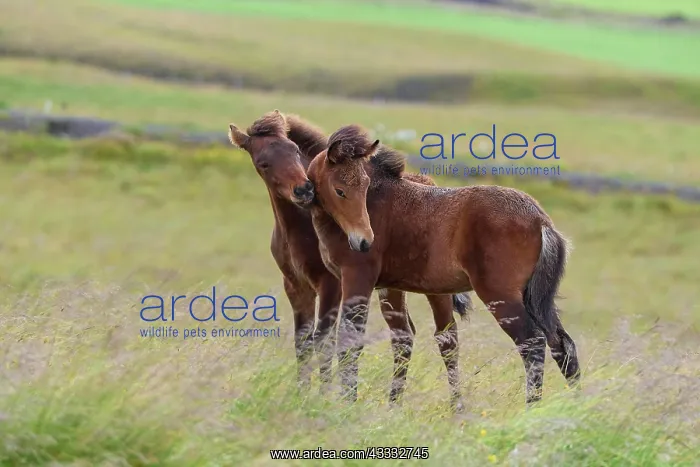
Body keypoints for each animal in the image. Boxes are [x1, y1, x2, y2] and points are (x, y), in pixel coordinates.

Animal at [227, 110, 471, 403]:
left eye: (295, 150)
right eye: (263, 163)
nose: (303, 190)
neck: (298, 227)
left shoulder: (332, 284)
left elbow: (325, 340)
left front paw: (323, 397)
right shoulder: (296, 287)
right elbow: (303, 342)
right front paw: (303, 395)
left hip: (434, 287)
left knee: (447, 337)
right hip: (391, 288)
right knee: (403, 335)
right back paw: (394, 405)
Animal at [305, 123, 581, 407]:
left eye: (364, 187)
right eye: (340, 190)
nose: (364, 242)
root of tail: (540, 220)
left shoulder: (357, 279)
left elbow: (351, 339)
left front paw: (347, 403)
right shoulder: (386, 287)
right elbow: (398, 338)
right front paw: (391, 406)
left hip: (500, 295)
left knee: (533, 342)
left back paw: (531, 407)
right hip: (535, 297)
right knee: (561, 343)